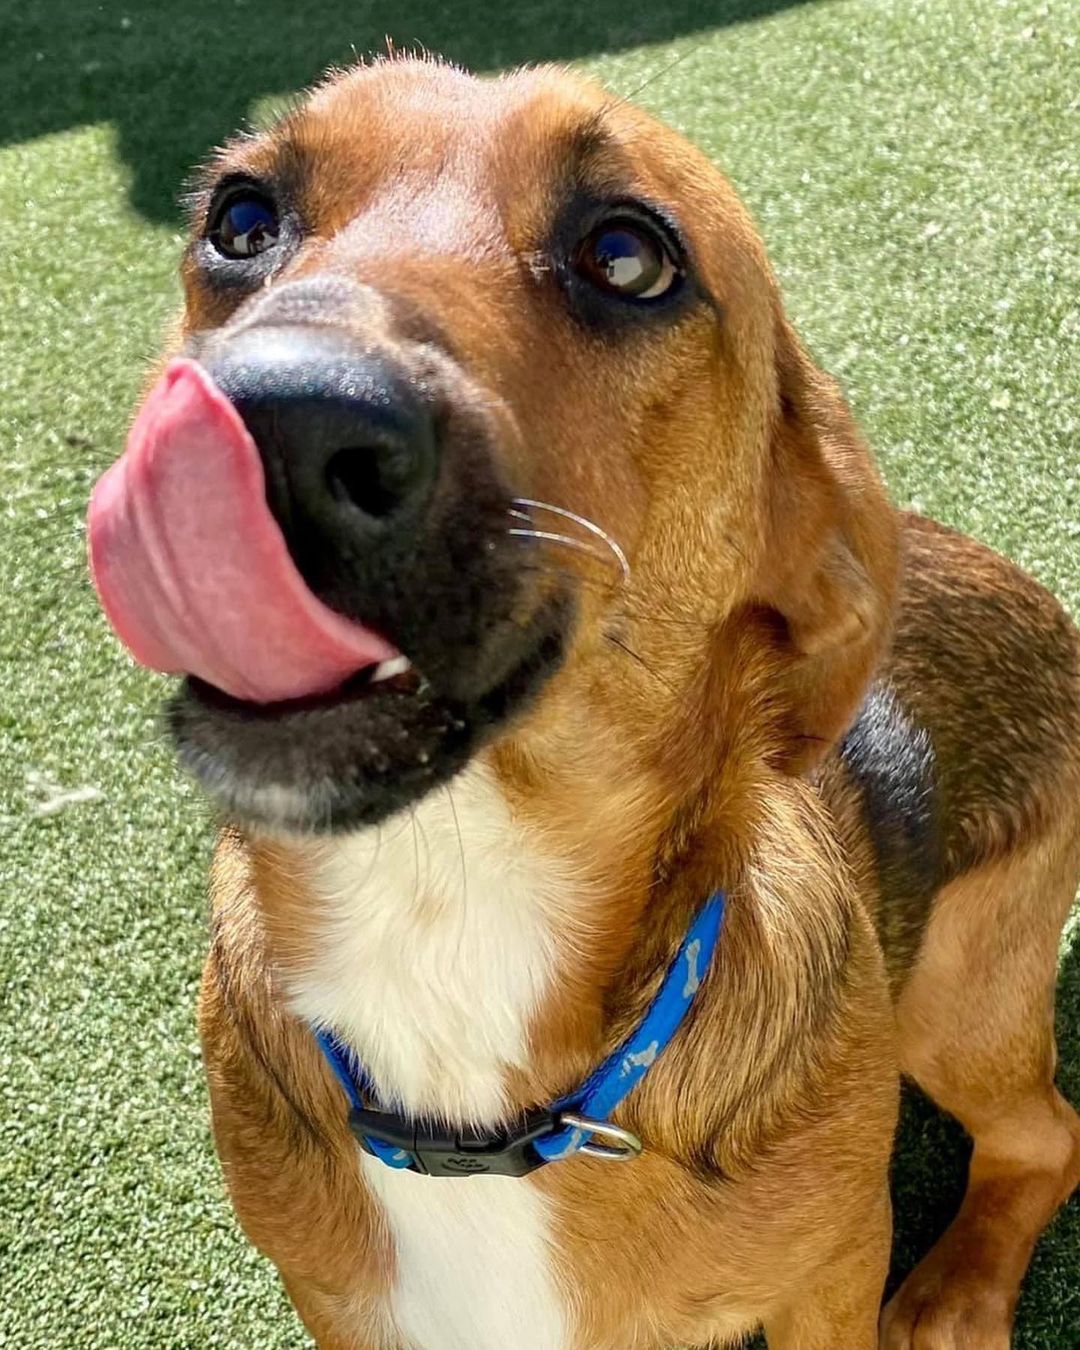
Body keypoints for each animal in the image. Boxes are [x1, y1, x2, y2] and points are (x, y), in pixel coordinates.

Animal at [86, 55, 1080, 1350]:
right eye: (241, 221)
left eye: (626, 255)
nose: (274, 426)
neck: (450, 920)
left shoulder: (830, 1278)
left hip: (954, 1008)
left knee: (1046, 1136)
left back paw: (957, 1291)